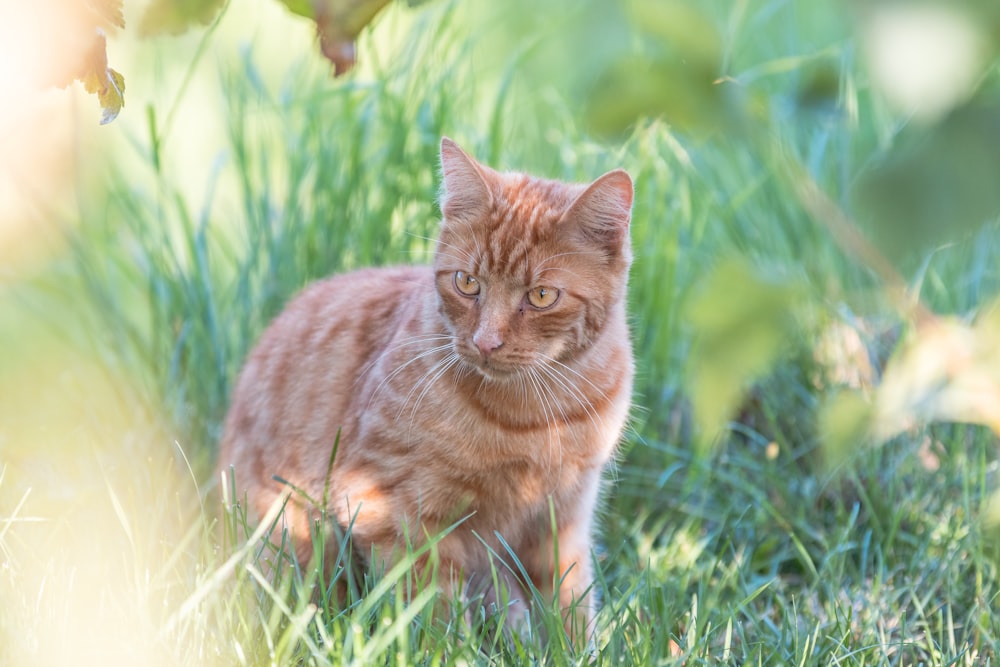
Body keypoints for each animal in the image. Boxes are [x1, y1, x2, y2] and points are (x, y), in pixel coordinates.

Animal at [219, 137, 632, 640]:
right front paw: (451, 647)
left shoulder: (563, 518)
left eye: (540, 296)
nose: (485, 342)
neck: (534, 417)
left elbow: (568, 607)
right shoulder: (392, 510)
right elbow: (433, 614)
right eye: (467, 283)